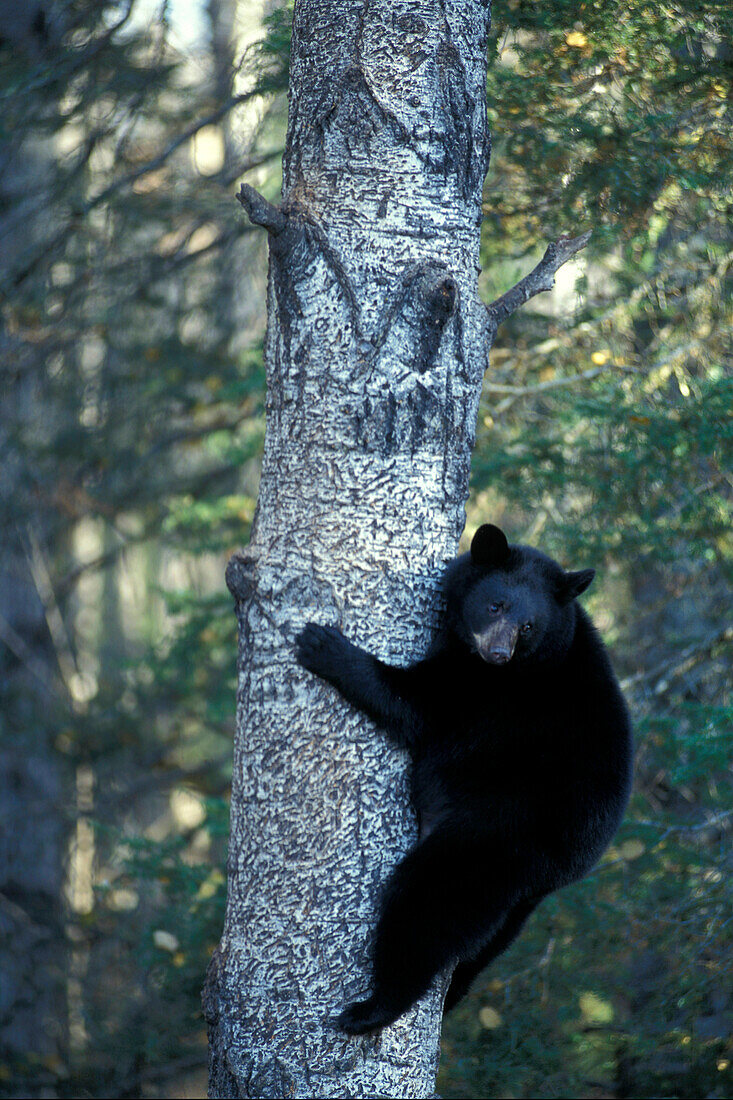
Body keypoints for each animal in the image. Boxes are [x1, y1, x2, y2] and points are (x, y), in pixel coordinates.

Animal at [294, 523, 629, 1029]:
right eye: (496, 605)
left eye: (528, 626)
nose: (498, 653)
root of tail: (578, 861)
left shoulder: (481, 695)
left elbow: (413, 705)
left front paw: (325, 647)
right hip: (520, 897)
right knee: (482, 949)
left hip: (493, 836)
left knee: (425, 905)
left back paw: (373, 1008)